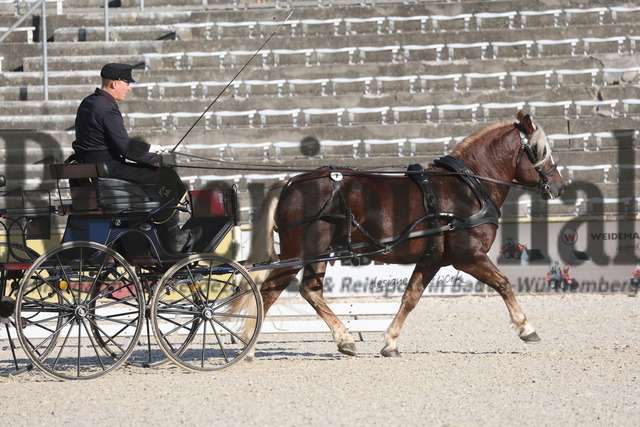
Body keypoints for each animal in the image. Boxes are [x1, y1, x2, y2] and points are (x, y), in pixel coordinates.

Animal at [242, 113, 564, 358]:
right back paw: (249, 345)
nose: (559, 186)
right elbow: (504, 284)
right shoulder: (469, 256)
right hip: (299, 252)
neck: (469, 187)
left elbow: (411, 297)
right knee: (268, 291)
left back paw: (344, 339)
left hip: (321, 251)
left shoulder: (432, 260)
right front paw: (526, 328)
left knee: (310, 291)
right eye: (540, 151)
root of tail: (291, 182)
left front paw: (390, 342)